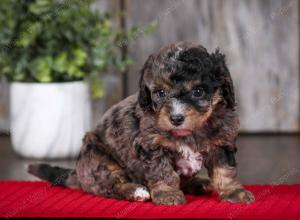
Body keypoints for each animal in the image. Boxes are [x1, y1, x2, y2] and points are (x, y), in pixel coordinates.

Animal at [28, 41, 254, 206]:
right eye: (160, 93)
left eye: (198, 91)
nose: (176, 118)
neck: (189, 132)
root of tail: (79, 174)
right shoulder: (151, 144)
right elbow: (162, 171)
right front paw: (167, 194)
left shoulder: (221, 142)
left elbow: (224, 169)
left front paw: (234, 192)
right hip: (99, 158)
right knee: (111, 185)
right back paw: (136, 191)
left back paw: (200, 184)